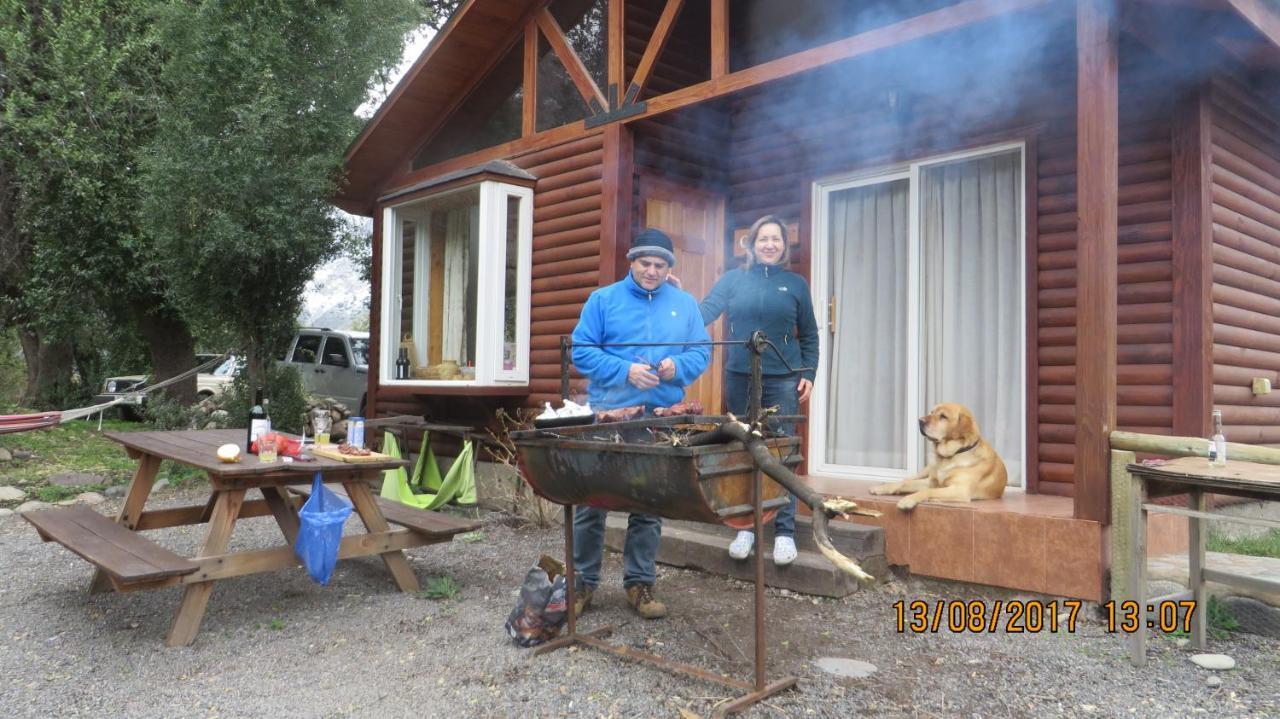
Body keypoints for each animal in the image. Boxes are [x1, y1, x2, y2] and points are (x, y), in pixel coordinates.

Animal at [870, 404, 1008, 509]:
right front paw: (883, 488)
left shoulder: (959, 490)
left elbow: (928, 491)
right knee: (906, 479)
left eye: (943, 416)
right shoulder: (931, 481)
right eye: (932, 412)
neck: (952, 455)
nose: (920, 420)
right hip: (925, 471)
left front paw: (907, 500)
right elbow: (905, 484)